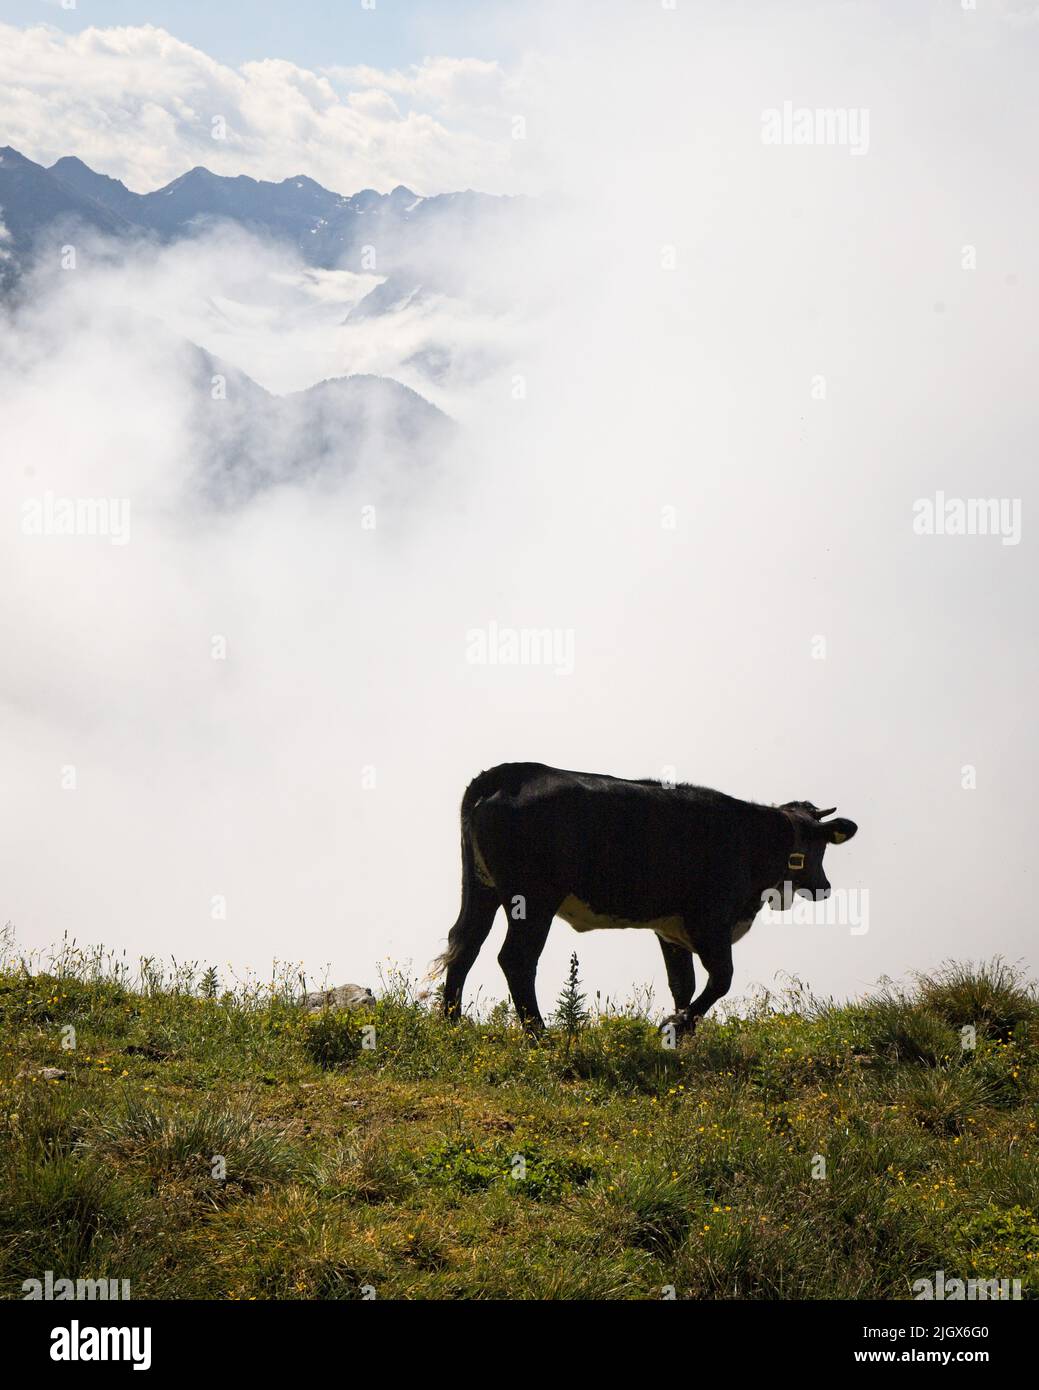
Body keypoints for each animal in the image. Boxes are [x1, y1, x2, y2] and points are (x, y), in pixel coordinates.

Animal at [437, 762, 857, 1034]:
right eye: (819, 846)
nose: (824, 887)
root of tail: (509, 773)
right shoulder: (710, 920)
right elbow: (722, 978)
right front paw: (677, 1025)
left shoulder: (671, 930)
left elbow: (683, 983)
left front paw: (682, 1033)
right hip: (534, 899)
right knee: (515, 958)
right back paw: (540, 1036)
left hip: (481, 889)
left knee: (465, 943)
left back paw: (451, 1024)